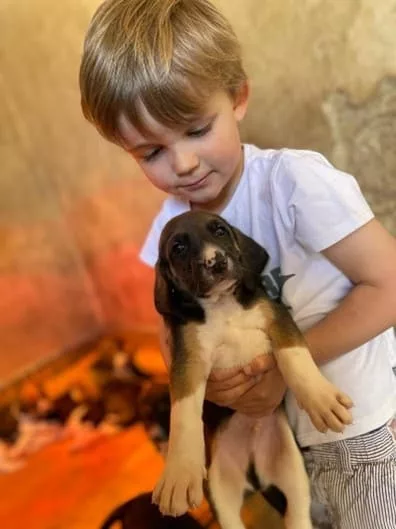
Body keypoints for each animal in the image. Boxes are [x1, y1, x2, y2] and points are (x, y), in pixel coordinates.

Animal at [152, 211, 352, 528]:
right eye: (179, 248)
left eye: (220, 231)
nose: (216, 261)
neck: (222, 306)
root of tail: (254, 470)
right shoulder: (188, 361)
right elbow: (183, 414)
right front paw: (180, 473)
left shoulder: (277, 319)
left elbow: (294, 357)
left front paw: (321, 399)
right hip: (221, 488)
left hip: (292, 470)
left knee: (297, 513)